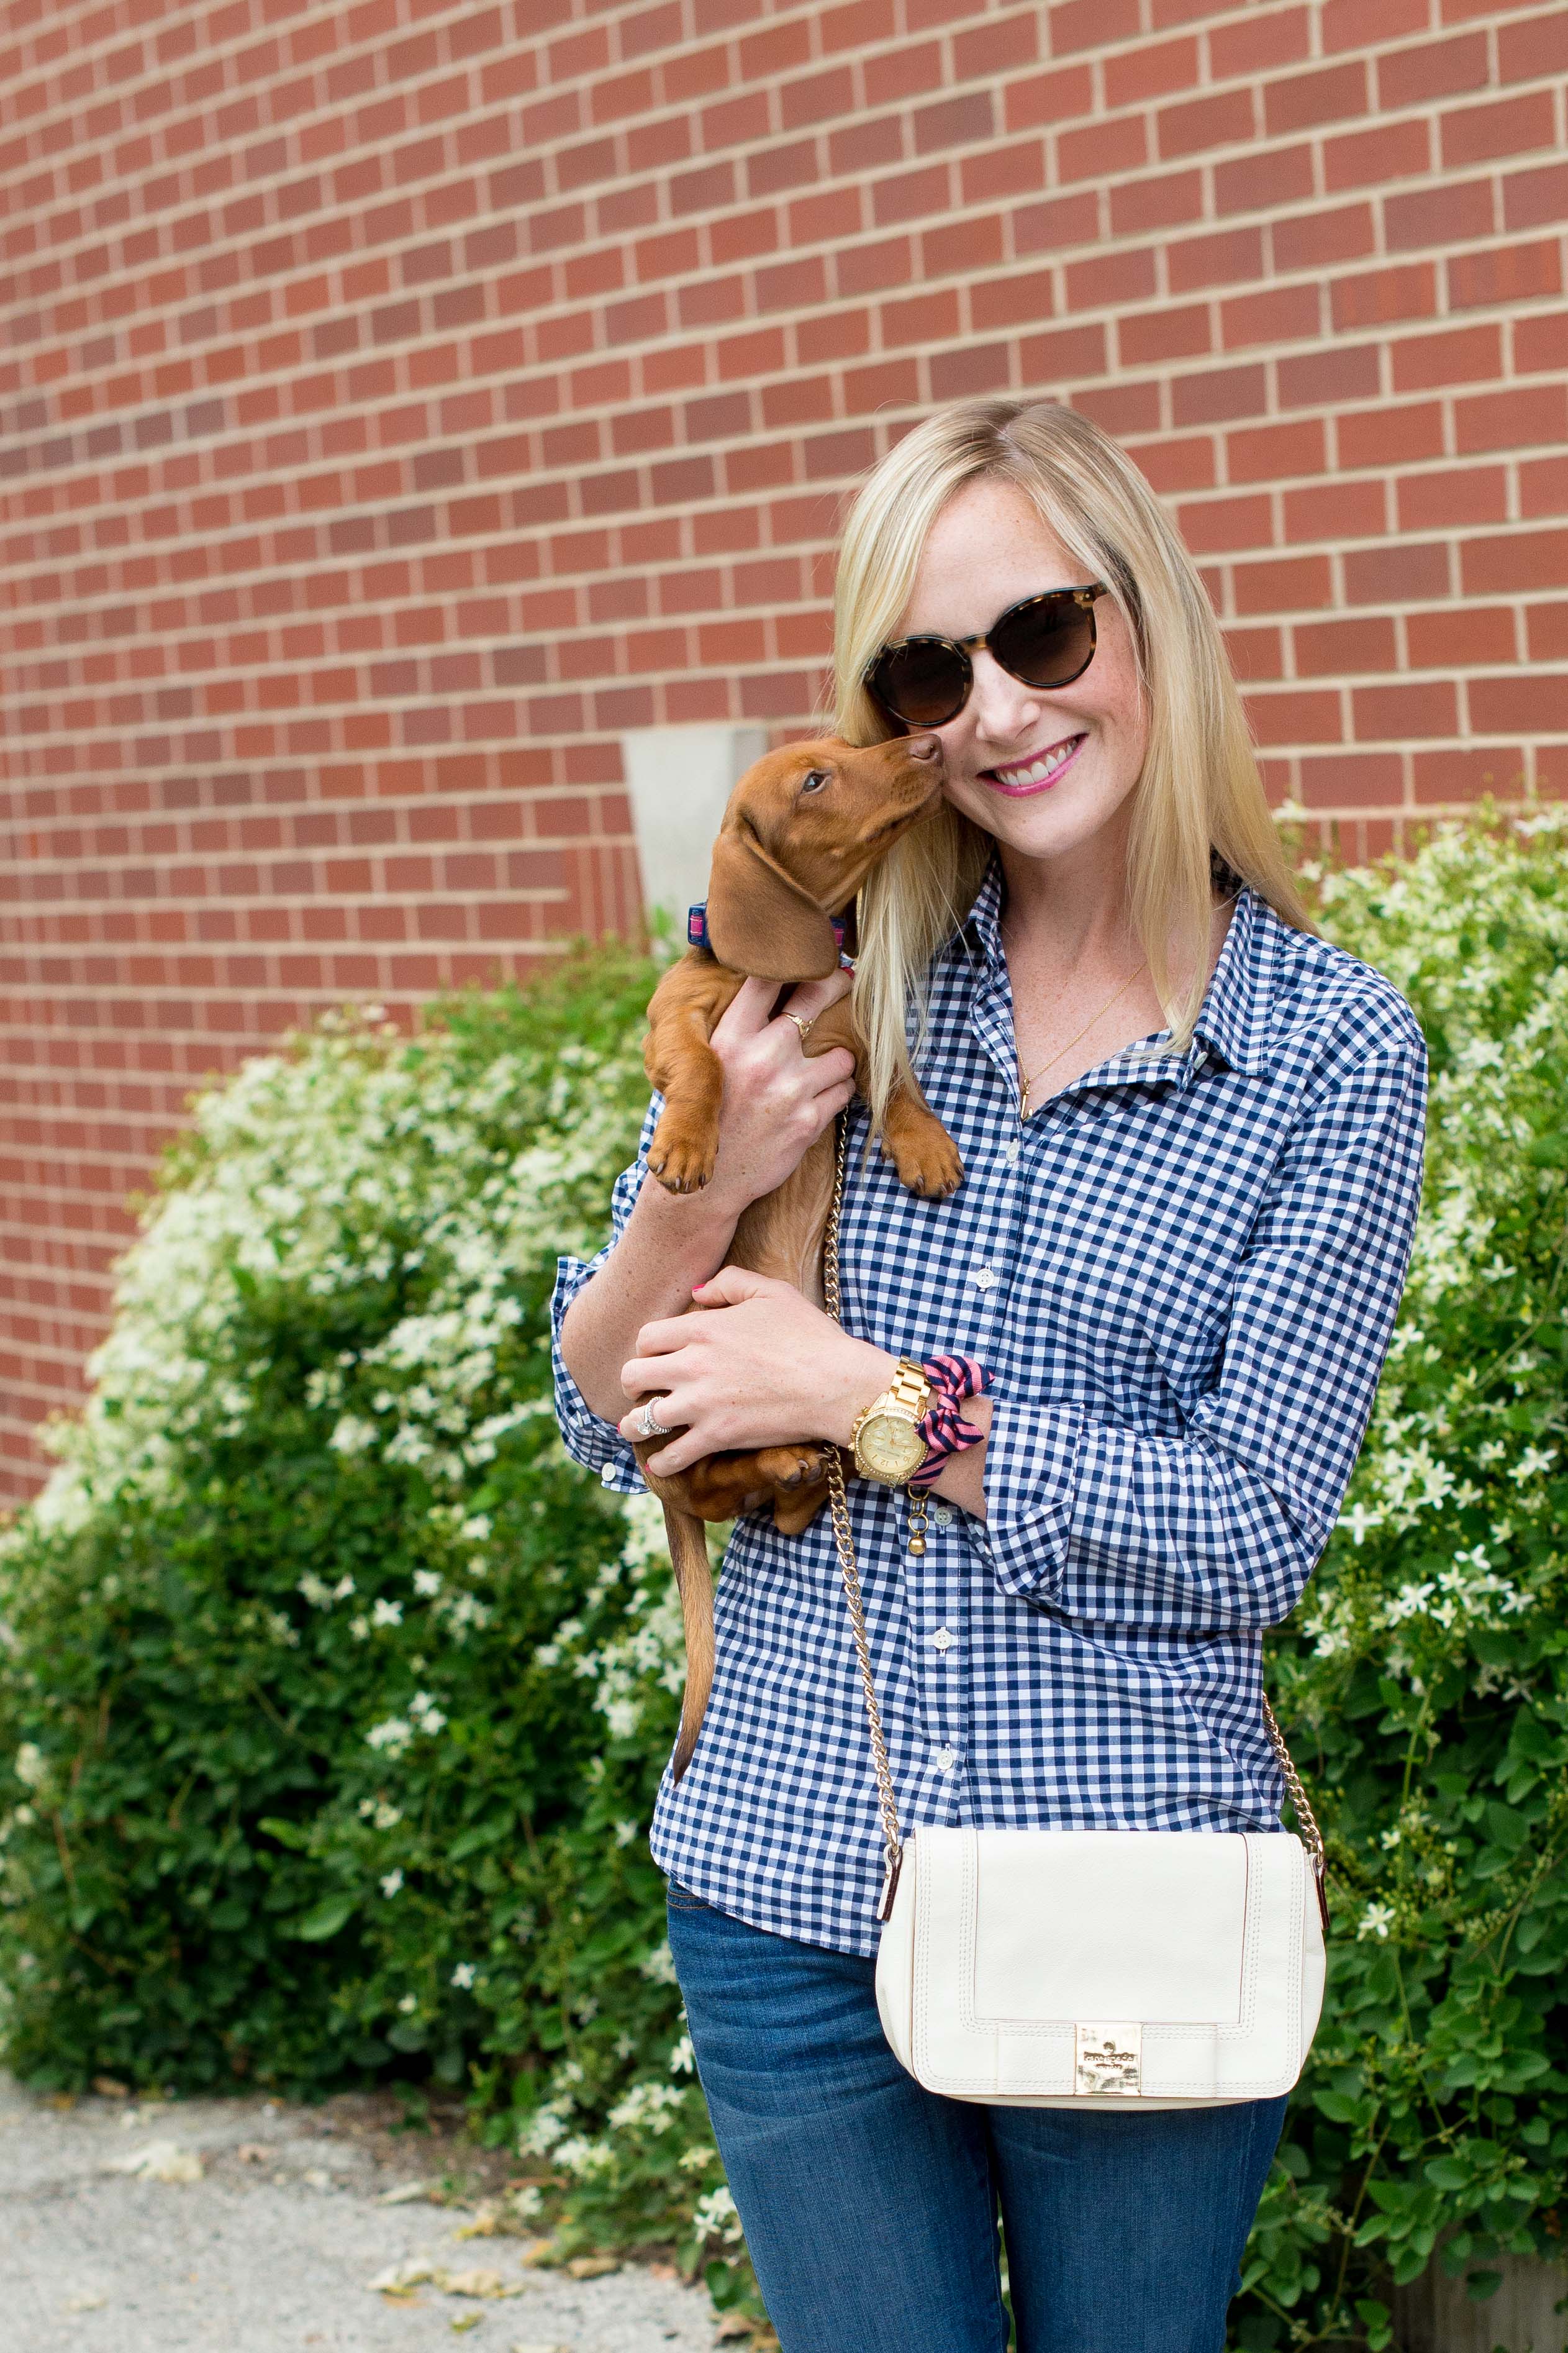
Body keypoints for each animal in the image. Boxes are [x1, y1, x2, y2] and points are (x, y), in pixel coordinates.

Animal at [630, 724, 964, 1769]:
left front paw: (926, 1146)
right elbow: (699, 1063)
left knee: (768, 1502)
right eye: (815, 779)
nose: (926, 743)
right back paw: (771, 1466)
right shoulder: (673, 1025)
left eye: (845, 744)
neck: (781, 978)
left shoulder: (852, 1035)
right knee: (703, 1484)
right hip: (674, 1416)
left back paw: (800, 1472)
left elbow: (896, 1080)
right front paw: (688, 1146)